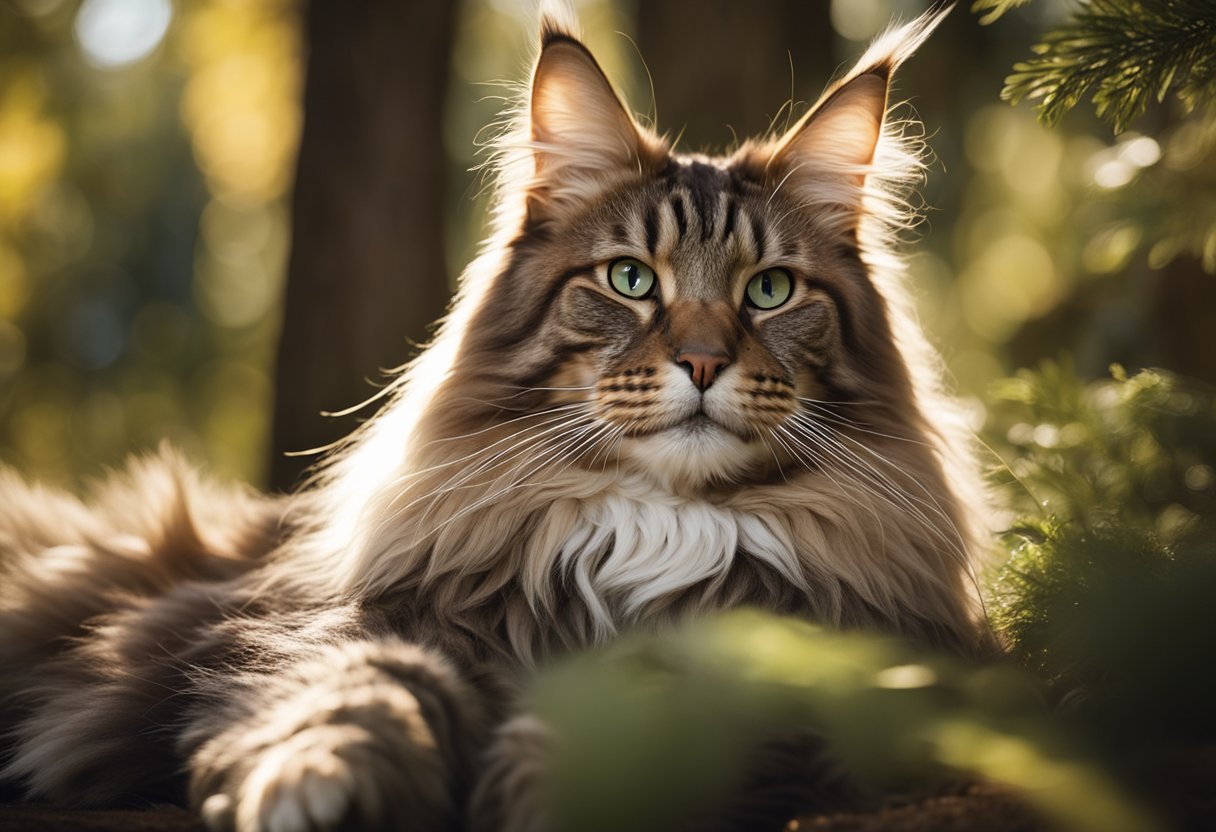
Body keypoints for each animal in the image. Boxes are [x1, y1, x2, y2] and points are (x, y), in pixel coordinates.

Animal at [0, 6, 987, 832]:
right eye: (631, 279)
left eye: (771, 291)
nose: (705, 363)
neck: (654, 530)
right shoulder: (330, 624)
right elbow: (352, 691)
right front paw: (321, 783)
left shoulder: (799, 674)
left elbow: (647, 710)